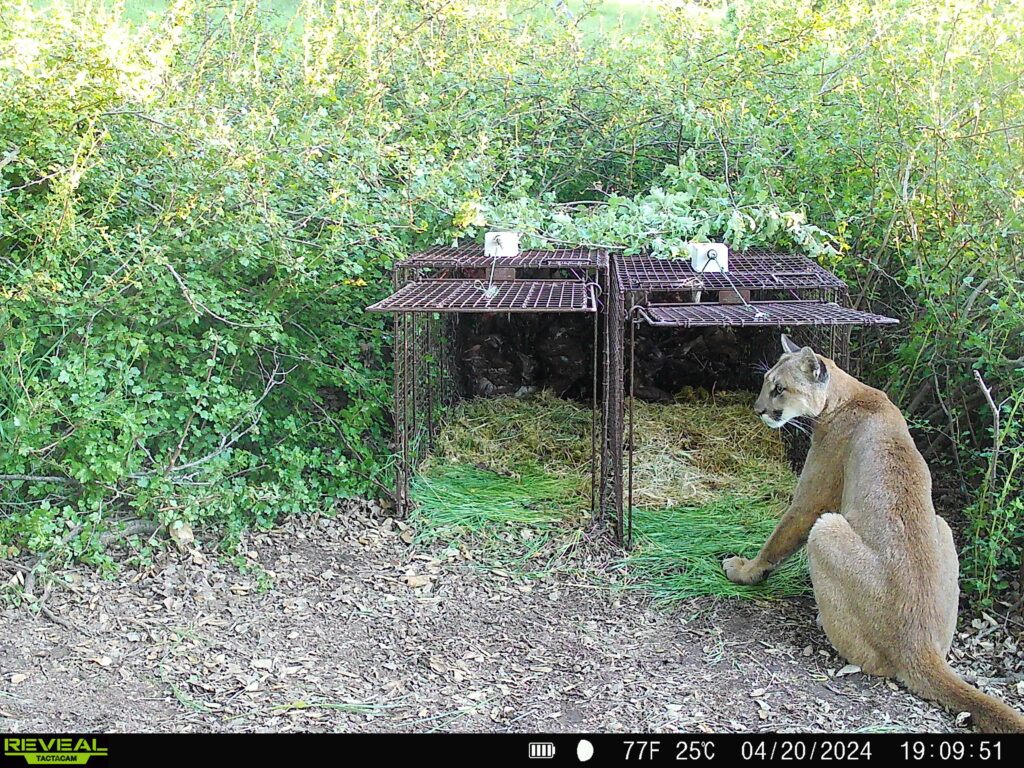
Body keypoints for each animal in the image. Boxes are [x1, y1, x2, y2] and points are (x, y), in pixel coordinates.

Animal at [720, 335, 1024, 733]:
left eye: (779, 389)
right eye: (765, 383)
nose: (759, 410)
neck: (849, 394)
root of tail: (921, 645)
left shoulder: (812, 499)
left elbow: (781, 536)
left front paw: (745, 570)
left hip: (826, 529)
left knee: (872, 662)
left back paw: (824, 621)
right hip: (942, 525)